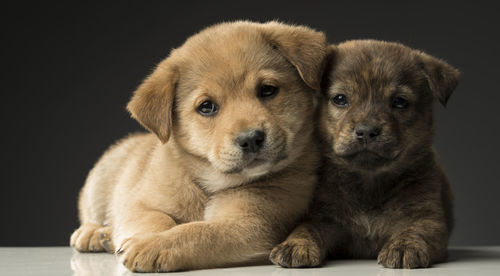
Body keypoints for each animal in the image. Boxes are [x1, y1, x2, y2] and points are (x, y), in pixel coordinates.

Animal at [70, 21, 328, 272]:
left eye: (267, 90)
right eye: (206, 107)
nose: (251, 138)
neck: (210, 185)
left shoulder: (252, 223)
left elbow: (198, 232)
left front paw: (154, 244)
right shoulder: (139, 205)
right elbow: (158, 220)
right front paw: (146, 239)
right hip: (100, 181)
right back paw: (95, 233)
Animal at [270, 40, 458, 268]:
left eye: (400, 101)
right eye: (340, 99)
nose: (366, 131)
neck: (369, 183)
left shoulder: (427, 218)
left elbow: (415, 231)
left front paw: (404, 246)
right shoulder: (324, 217)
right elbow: (306, 227)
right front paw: (295, 244)